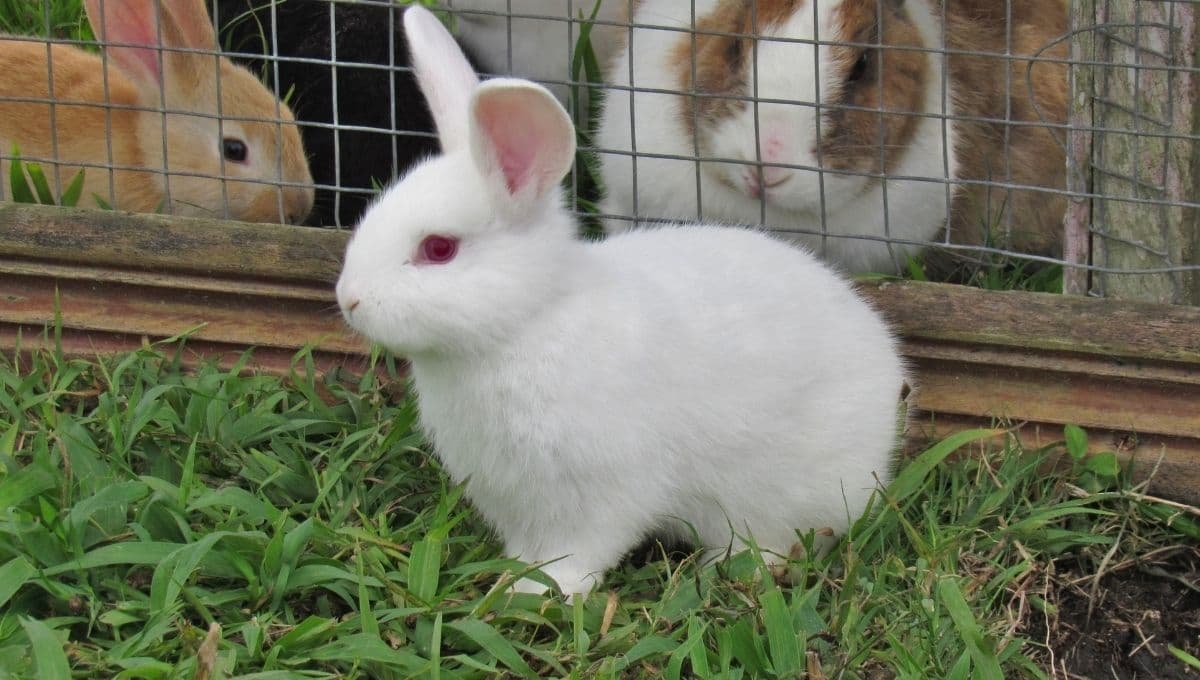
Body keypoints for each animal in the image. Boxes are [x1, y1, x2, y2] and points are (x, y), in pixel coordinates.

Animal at [336, 5, 906, 598]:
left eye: (438, 249)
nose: (348, 299)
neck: (528, 322)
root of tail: (890, 379)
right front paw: (510, 577)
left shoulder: (599, 493)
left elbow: (582, 551)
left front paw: (539, 593)